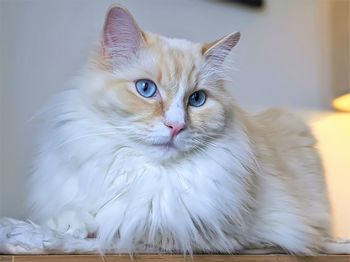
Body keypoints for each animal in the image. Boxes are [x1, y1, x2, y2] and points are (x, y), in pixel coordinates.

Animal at [27, 4, 342, 254]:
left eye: (197, 99)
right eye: (146, 89)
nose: (176, 126)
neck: (145, 172)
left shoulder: (211, 231)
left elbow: (128, 223)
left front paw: (90, 230)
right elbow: (65, 215)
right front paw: (69, 225)